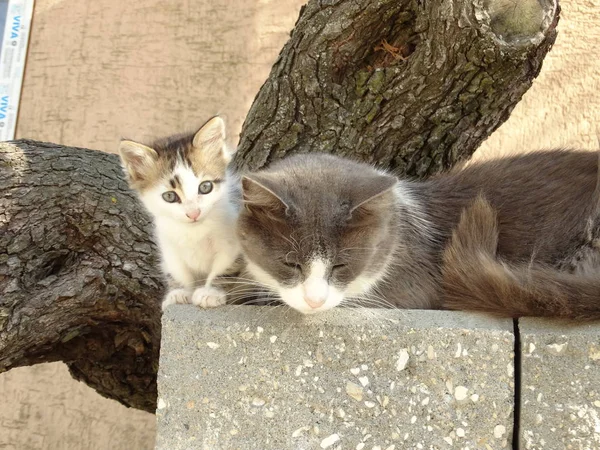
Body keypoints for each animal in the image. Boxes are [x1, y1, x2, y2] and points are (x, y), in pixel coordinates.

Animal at [119, 118, 241, 312]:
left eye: (205, 187)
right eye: (170, 196)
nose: (193, 213)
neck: (194, 231)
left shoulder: (232, 243)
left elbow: (224, 269)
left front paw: (211, 292)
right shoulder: (169, 247)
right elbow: (178, 272)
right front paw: (180, 292)